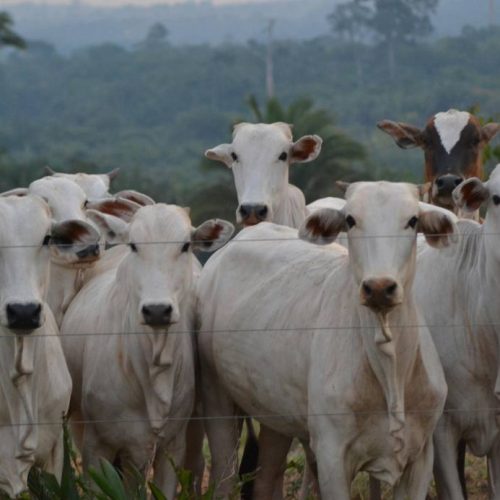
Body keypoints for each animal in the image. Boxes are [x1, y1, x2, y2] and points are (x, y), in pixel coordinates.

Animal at [197, 182, 456, 498]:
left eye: (413, 220)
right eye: (350, 220)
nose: (379, 287)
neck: (390, 373)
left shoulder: (419, 457)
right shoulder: (332, 456)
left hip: (275, 416)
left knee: (266, 477)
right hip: (217, 402)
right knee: (225, 477)